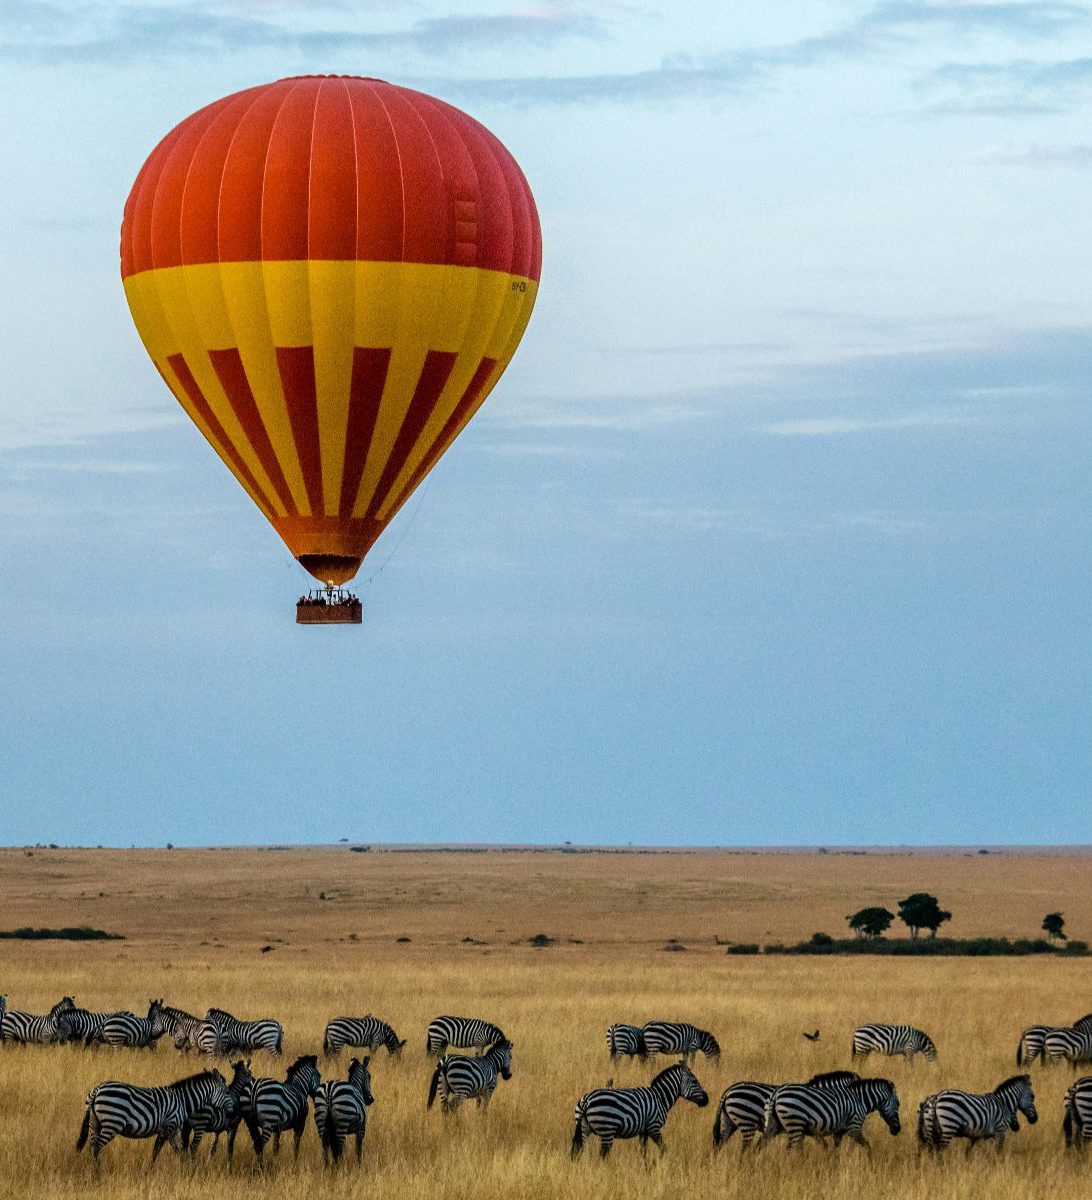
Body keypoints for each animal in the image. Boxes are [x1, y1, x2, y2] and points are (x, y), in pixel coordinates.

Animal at [75, 1068, 228, 1163]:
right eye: (226, 1092)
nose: (232, 1109)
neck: (183, 1100)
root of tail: (98, 1089)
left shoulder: (173, 1129)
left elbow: (179, 1151)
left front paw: (183, 1169)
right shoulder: (168, 1125)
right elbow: (156, 1150)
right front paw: (150, 1170)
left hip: (94, 1123)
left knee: (92, 1145)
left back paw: (93, 1168)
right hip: (112, 1122)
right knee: (96, 1146)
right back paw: (97, 1173)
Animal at [571, 1062, 709, 1158]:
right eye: (694, 1081)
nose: (707, 1099)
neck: (660, 1097)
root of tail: (587, 1100)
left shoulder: (644, 1131)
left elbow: (643, 1152)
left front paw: (647, 1168)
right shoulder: (654, 1127)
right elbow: (663, 1148)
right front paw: (661, 1163)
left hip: (584, 1127)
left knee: (577, 1151)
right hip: (607, 1130)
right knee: (603, 1155)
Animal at [764, 1077, 901, 1150]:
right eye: (898, 1105)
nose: (898, 1130)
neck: (860, 1100)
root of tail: (776, 1093)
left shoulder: (838, 1133)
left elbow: (835, 1154)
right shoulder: (854, 1126)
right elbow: (868, 1146)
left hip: (776, 1125)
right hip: (795, 1123)